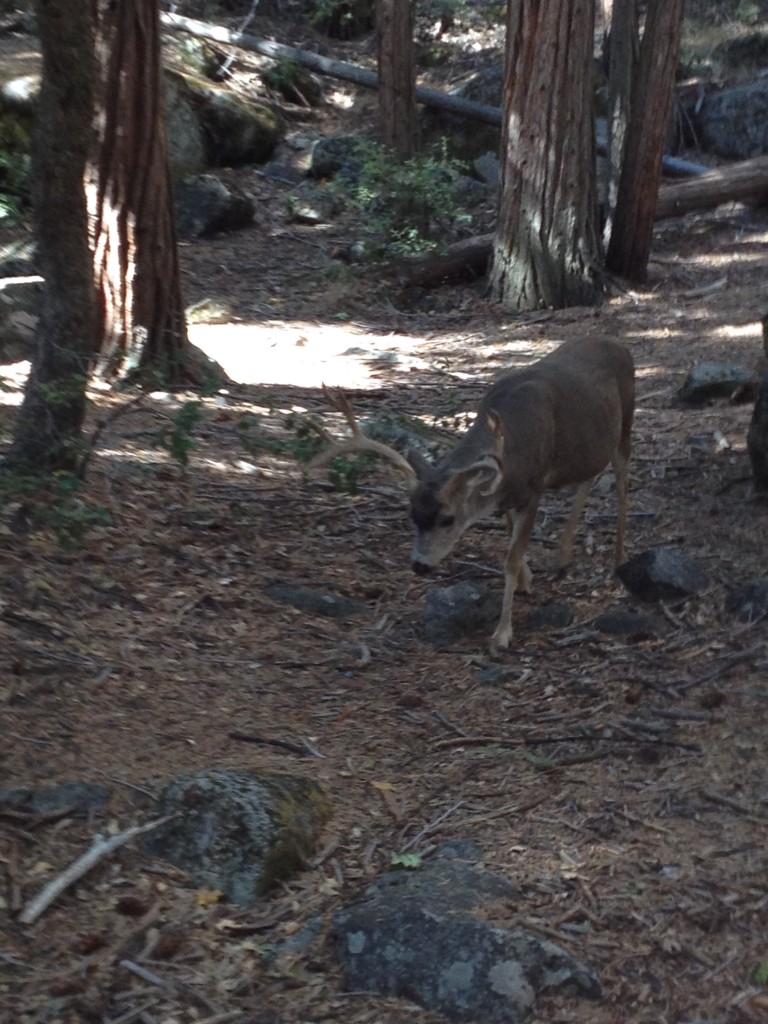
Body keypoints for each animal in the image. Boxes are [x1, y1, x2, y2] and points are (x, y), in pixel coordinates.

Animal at [309, 337, 634, 655]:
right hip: (592, 445)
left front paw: (501, 634)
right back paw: (563, 556)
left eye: (448, 519)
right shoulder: (505, 489)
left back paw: (619, 561)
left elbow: (510, 559)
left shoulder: (533, 488)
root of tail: (618, 342)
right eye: (412, 516)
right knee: (590, 475)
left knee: (621, 483)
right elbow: (509, 534)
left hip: (626, 424)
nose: (419, 565)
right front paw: (526, 580)